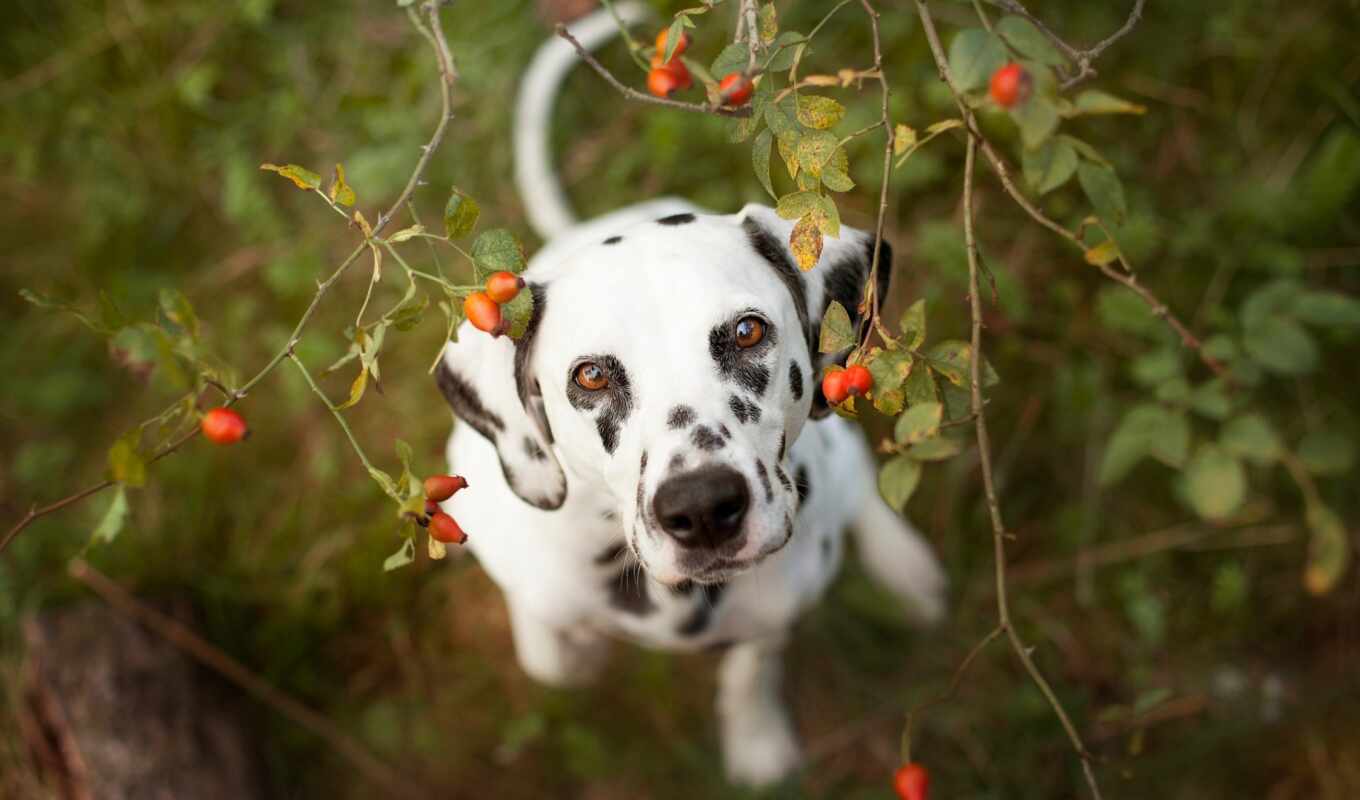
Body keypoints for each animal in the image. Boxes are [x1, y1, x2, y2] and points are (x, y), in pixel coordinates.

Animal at [435, 1, 946, 789]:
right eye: (590, 375)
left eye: (746, 331)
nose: (703, 508)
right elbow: (552, 652)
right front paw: (574, 644)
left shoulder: (776, 611)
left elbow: (750, 670)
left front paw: (756, 740)